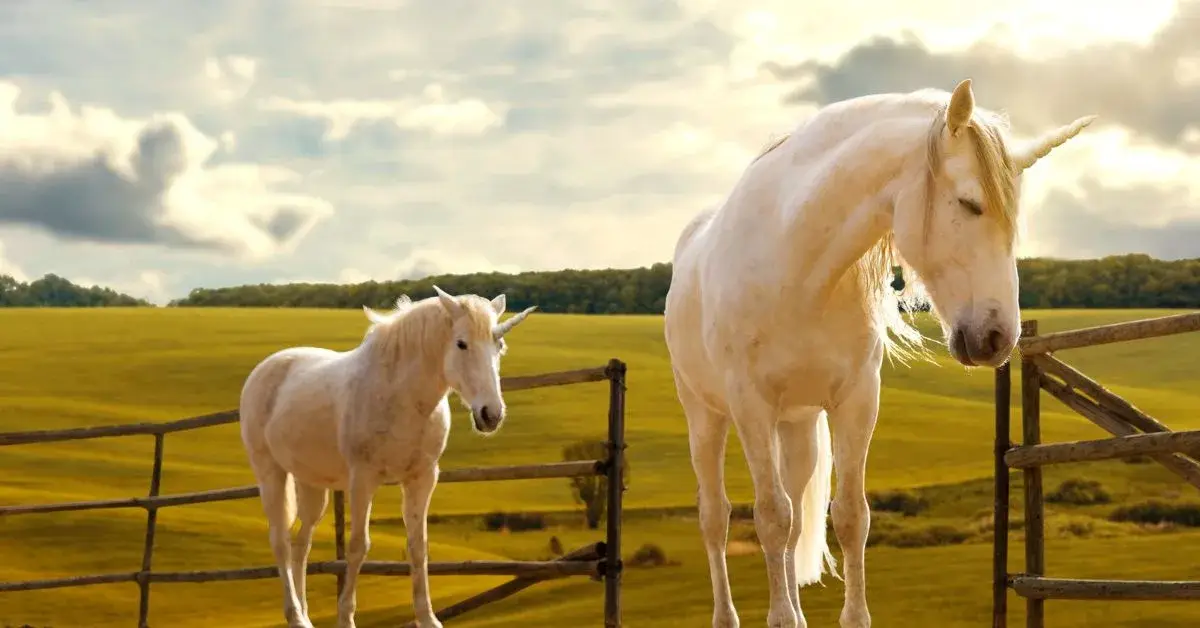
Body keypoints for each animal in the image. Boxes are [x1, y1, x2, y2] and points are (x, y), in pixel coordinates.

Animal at [239, 286, 536, 628]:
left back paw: (303, 616)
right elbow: (358, 547)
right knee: (281, 543)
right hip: (270, 473)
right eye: (461, 343)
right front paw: (346, 618)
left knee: (301, 545)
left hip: (312, 483)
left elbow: (418, 546)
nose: (491, 415)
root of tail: (263, 369)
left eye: (499, 346)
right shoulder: (363, 480)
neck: (402, 397)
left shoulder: (422, 478)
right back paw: (296, 616)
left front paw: (427, 618)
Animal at [663, 79, 1094, 628]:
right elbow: (770, 517)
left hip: (797, 423)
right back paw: (729, 614)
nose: (998, 338)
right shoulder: (750, 406)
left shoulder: (856, 401)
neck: (796, 268)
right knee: (716, 517)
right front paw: (780, 617)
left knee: (796, 513)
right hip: (706, 416)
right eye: (969, 202)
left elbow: (848, 516)